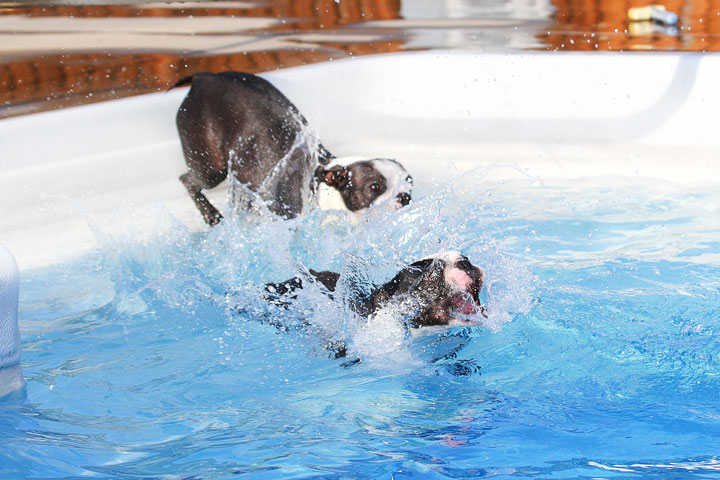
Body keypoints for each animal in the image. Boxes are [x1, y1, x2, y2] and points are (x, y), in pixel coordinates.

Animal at [171, 72, 414, 226]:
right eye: (374, 187)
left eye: (410, 184)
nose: (405, 197)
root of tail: (203, 77)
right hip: (210, 168)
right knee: (188, 180)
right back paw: (212, 216)